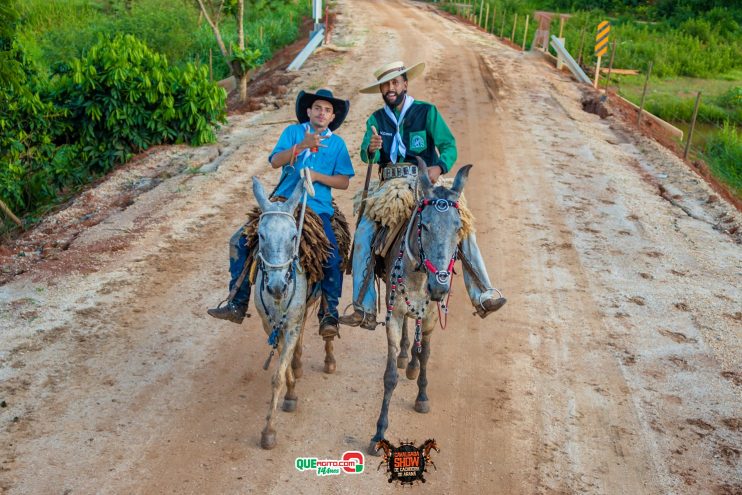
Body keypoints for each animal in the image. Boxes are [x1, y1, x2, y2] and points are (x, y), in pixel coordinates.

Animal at [253, 176, 338, 452]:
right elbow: (283, 363)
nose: (277, 286)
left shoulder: (290, 324)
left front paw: (269, 430)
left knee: (327, 327)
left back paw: (329, 358)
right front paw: (291, 390)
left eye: (293, 236)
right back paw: (299, 363)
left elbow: (277, 375)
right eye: (261, 235)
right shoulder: (270, 326)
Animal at [370, 161, 470, 456]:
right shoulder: (392, 313)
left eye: (458, 227)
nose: (440, 287)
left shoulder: (431, 316)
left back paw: (411, 362)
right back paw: (405, 356)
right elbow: (390, 375)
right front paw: (379, 431)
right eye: (424, 226)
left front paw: (422, 397)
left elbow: (426, 354)